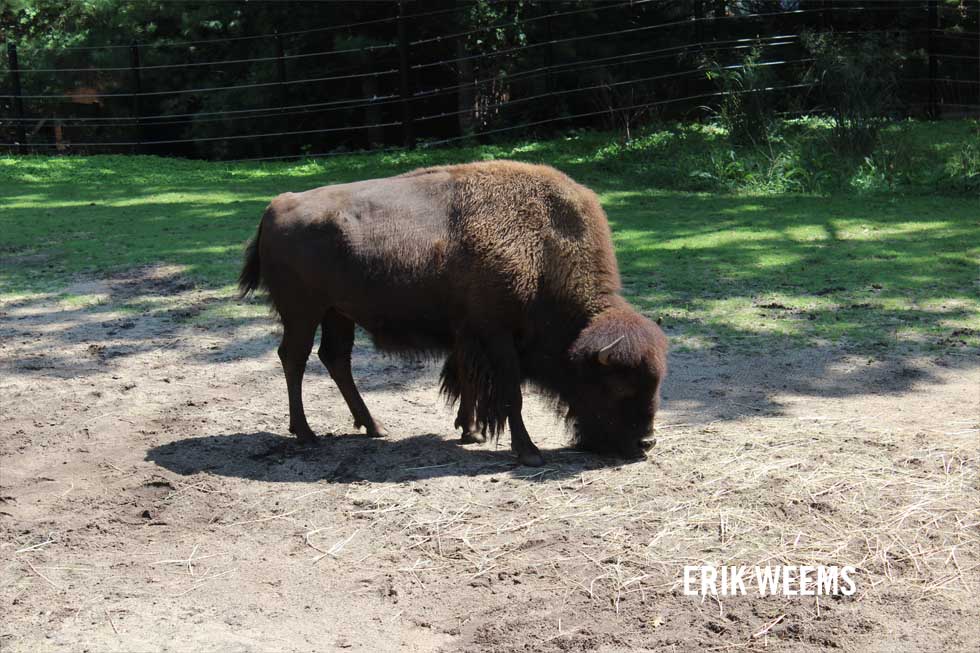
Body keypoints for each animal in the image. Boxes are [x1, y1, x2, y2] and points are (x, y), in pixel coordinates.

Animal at [238, 160, 668, 466]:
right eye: (614, 385)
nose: (645, 443)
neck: (544, 247)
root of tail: (277, 204)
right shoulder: (497, 335)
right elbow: (511, 393)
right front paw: (528, 452)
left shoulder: (468, 334)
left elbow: (467, 379)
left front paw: (471, 430)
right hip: (303, 311)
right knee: (295, 358)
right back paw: (306, 433)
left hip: (337, 313)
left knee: (335, 358)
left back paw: (374, 427)